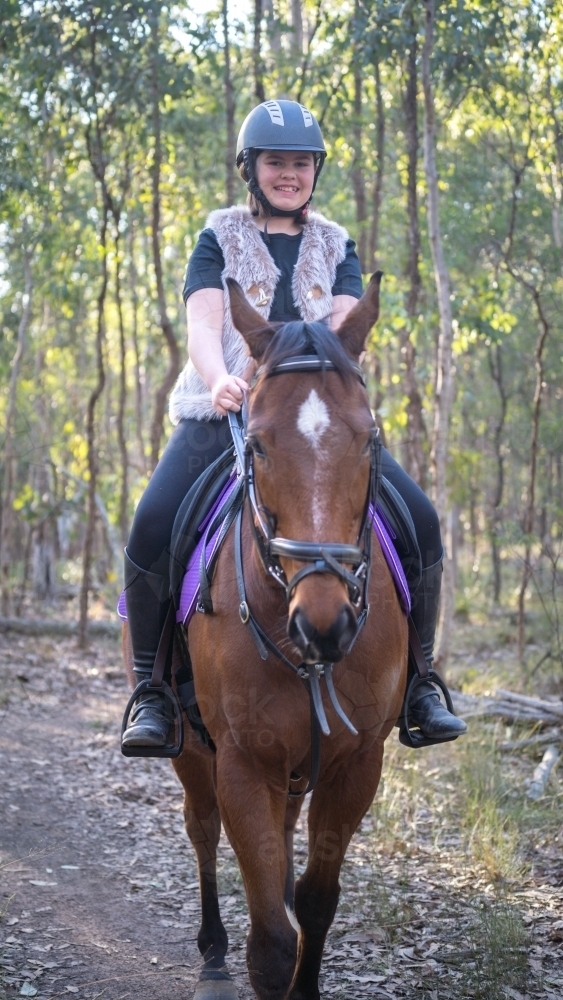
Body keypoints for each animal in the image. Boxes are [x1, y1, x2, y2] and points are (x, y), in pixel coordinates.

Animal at [123, 274, 408, 1000]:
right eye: (253, 444)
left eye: (370, 441)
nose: (323, 622)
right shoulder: (243, 762)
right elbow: (271, 946)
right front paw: (248, 956)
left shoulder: (356, 762)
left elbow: (316, 901)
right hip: (192, 746)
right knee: (201, 830)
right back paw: (213, 954)